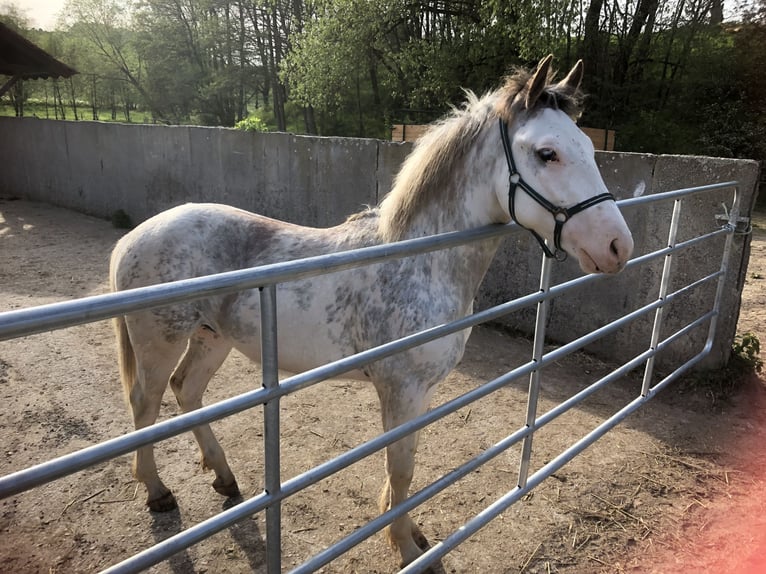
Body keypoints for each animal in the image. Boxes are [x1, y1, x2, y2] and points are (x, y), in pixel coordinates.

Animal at [109, 56, 636, 568]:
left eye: (588, 147)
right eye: (547, 153)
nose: (617, 246)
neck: (418, 261)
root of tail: (135, 236)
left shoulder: (421, 391)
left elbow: (406, 463)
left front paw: (410, 532)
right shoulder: (400, 389)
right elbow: (400, 469)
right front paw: (405, 547)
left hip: (211, 337)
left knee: (186, 392)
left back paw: (224, 478)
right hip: (159, 344)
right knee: (146, 404)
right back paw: (157, 492)